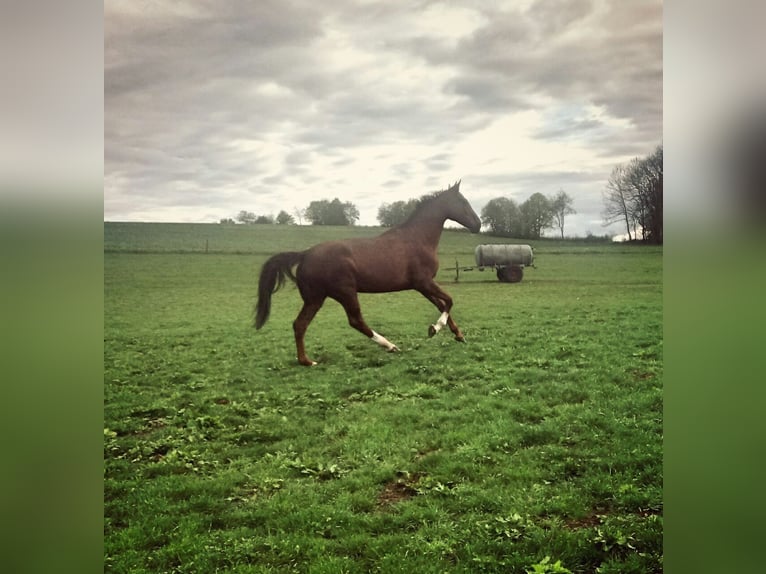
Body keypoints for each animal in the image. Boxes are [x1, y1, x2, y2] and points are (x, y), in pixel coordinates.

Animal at [255, 180, 484, 366]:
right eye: (463, 202)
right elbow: (449, 301)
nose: (478, 225)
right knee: (355, 321)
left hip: (315, 299)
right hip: (345, 293)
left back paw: (306, 361)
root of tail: (305, 254)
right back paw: (390, 346)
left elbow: (442, 304)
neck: (417, 238)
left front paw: (458, 335)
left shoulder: (422, 286)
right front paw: (435, 329)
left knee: (299, 324)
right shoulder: (424, 282)